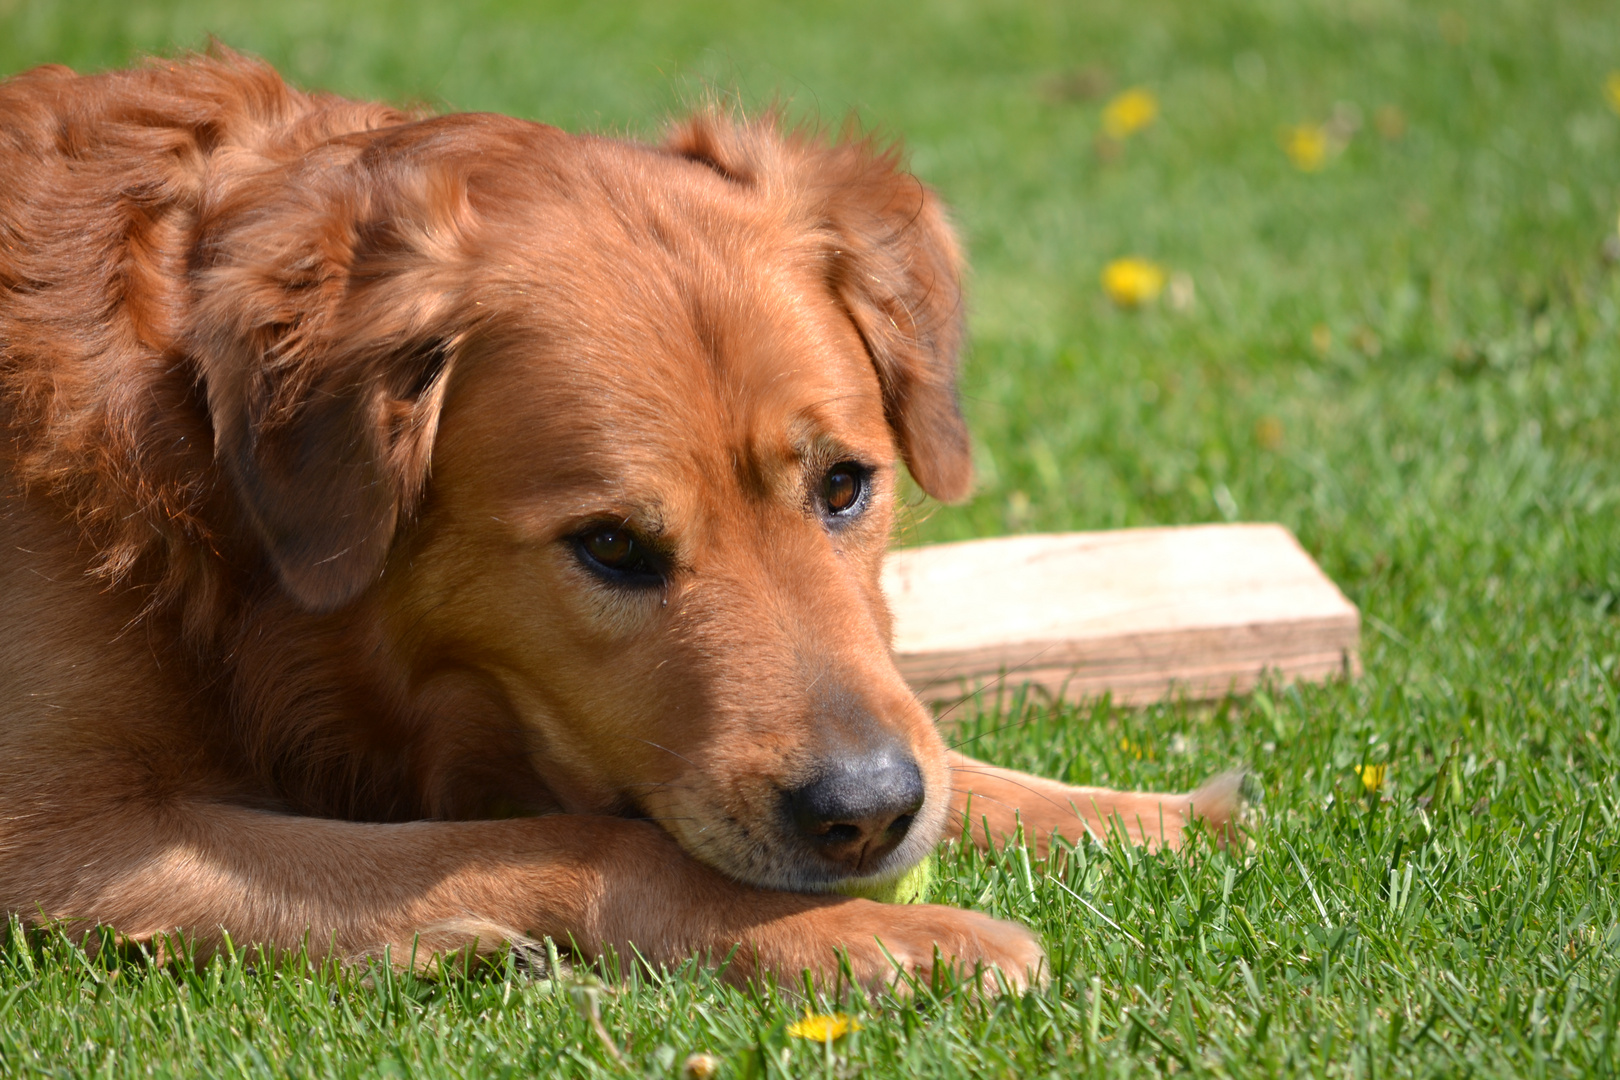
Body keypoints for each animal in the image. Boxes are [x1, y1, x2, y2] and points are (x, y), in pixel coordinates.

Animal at [0, 52, 1237, 997]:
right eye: (609, 546)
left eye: (846, 485)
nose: (870, 815)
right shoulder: (70, 845)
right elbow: (591, 840)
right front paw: (871, 935)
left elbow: (956, 758)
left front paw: (1166, 817)